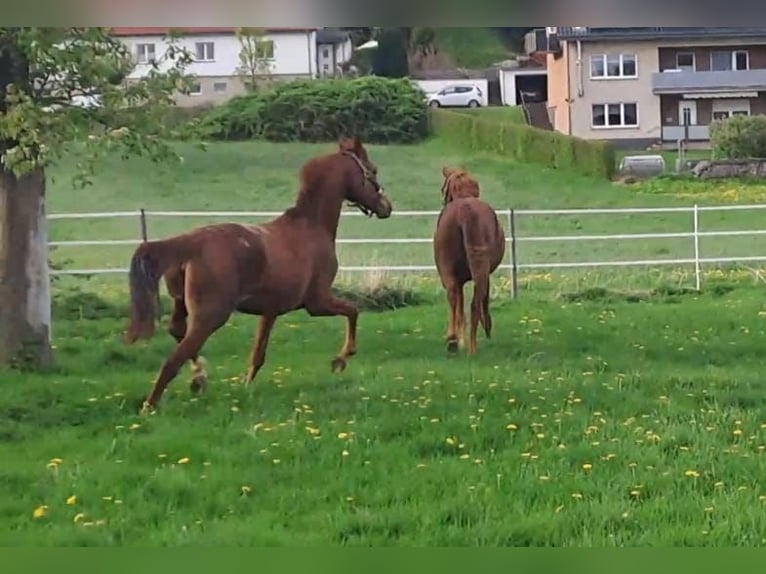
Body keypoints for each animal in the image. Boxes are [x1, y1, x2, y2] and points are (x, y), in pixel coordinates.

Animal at [436, 165, 508, 356]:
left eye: (443, 189)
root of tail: (464, 211)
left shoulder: (459, 279)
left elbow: (460, 307)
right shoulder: (484, 274)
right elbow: (483, 300)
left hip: (448, 271)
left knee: (454, 296)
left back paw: (453, 341)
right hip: (479, 269)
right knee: (474, 303)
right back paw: (471, 348)